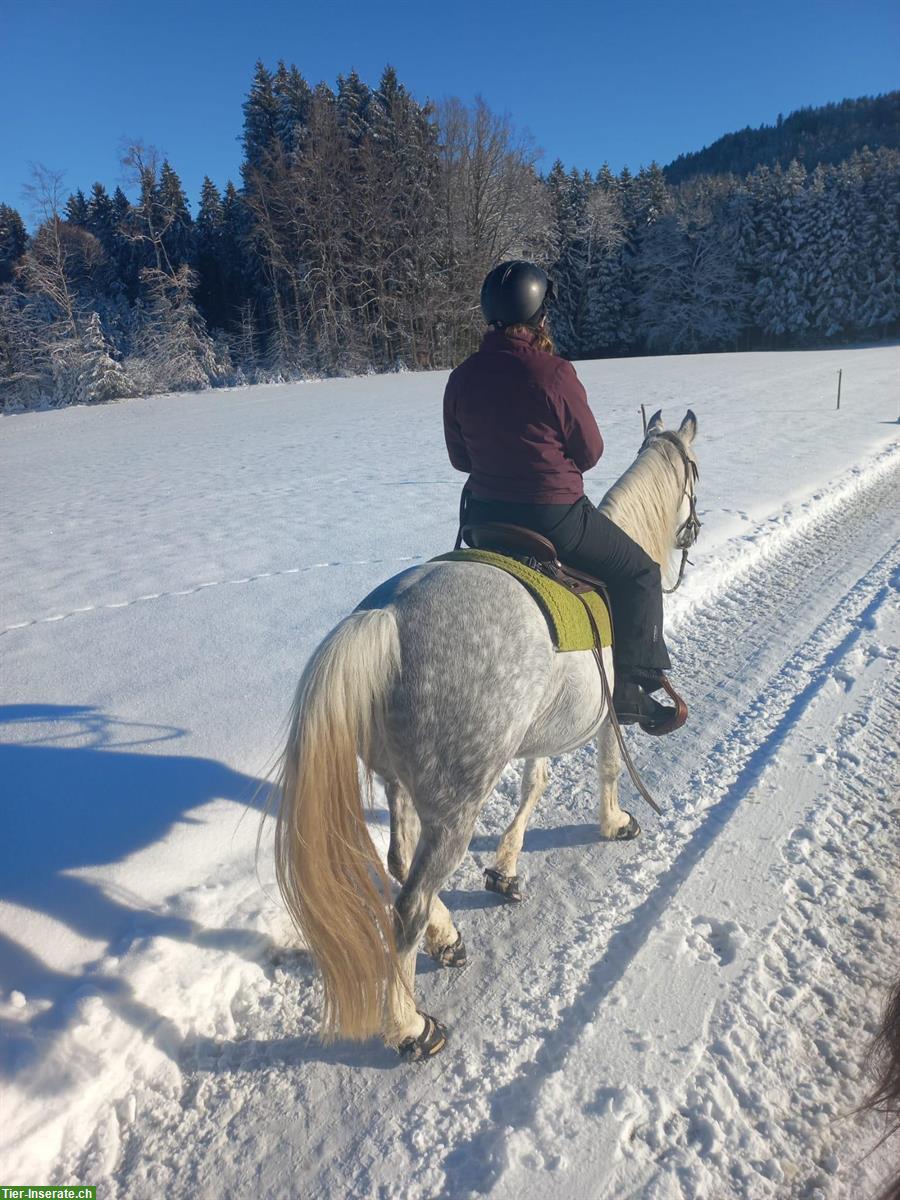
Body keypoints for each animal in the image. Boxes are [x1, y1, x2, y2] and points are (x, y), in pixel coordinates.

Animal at [274, 410, 705, 1060]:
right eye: (695, 473)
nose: (694, 530)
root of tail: (387, 619)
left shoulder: (536, 735)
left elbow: (535, 783)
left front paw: (504, 870)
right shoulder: (611, 712)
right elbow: (606, 766)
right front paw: (614, 823)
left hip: (401, 779)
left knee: (399, 859)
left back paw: (447, 936)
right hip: (457, 802)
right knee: (406, 904)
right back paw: (410, 1026)